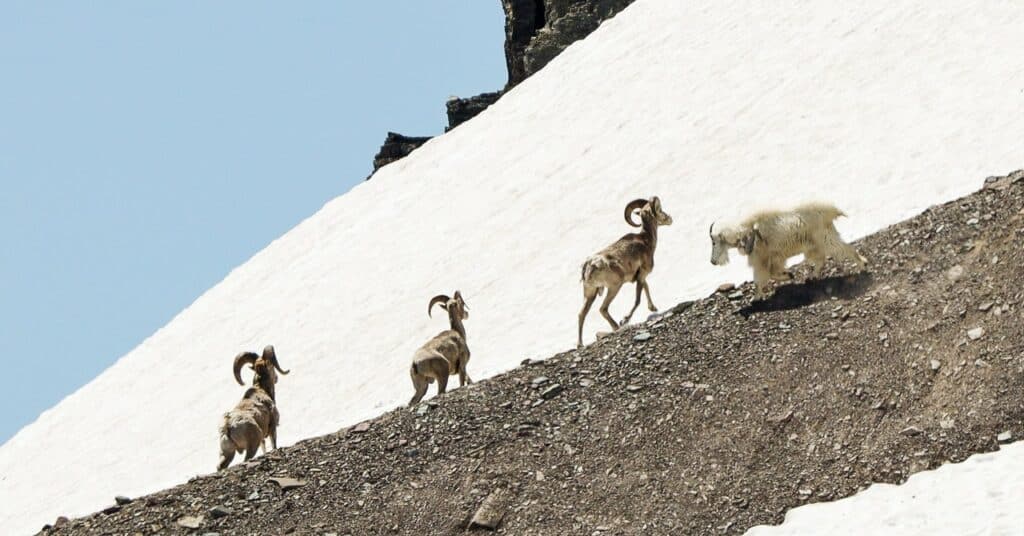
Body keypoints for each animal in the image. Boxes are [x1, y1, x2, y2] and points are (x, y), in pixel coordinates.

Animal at [581, 196, 675, 348]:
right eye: (660, 209)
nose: (670, 218)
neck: (646, 240)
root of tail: (591, 265)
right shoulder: (641, 275)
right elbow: (637, 300)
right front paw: (625, 319)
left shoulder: (640, 277)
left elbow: (646, 288)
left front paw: (653, 308)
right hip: (614, 287)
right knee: (603, 309)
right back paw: (617, 326)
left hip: (590, 293)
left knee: (581, 314)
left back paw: (580, 344)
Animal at [708, 203, 868, 299]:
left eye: (714, 242)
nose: (713, 261)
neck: (746, 231)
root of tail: (831, 212)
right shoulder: (774, 258)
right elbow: (773, 272)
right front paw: (788, 275)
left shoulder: (762, 259)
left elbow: (761, 278)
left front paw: (757, 297)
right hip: (814, 244)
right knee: (820, 259)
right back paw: (812, 277)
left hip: (824, 238)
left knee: (844, 249)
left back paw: (862, 265)